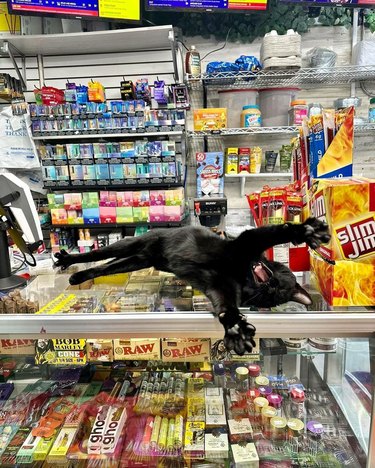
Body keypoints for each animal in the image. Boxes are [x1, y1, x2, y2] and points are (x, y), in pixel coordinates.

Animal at [54, 218, 330, 356]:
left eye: (278, 294)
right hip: (131, 245)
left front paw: (235, 329)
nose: (271, 284)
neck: (244, 275)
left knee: (104, 267)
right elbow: (274, 232)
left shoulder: (220, 288)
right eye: (280, 280)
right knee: (97, 254)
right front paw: (308, 230)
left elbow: (226, 309)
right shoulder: (245, 242)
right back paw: (67, 260)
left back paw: (77, 276)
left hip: (137, 260)